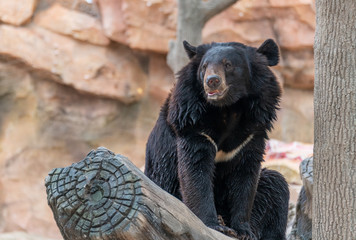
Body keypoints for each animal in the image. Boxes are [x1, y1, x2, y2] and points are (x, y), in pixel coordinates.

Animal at [144, 38, 290, 239]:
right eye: (204, 67)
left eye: (228, 65)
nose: (212, 81)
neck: (227, 108)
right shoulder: (192, 122)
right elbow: (196, 172)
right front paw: (215, 225)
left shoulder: (252, 132)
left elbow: (246, 177)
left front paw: (243, 230)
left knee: (277, 185)